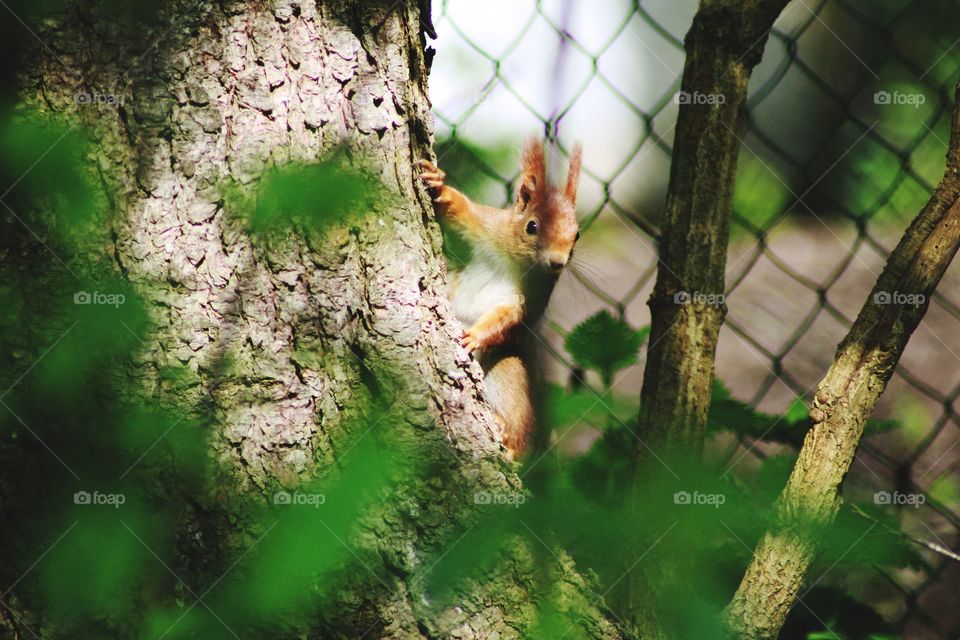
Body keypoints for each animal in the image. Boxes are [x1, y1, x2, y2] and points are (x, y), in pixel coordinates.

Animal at [418, 138, 582, 460]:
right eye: (532, 226)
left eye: (577, 235)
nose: (557, 262)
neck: (515, 260)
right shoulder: (485, 225)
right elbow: (461, 209)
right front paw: (437, 184)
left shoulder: (531, 295)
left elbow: (509, 319)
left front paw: (475, 336)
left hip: (509, 372)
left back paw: (508, 435)